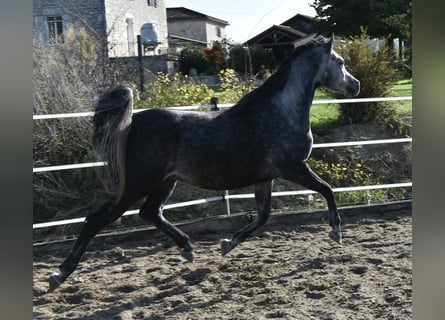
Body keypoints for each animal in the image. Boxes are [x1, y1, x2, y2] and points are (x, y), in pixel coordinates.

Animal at [47, 35, 358, 292]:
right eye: (340, 62)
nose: (355, 85)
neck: (281, 111)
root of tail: (133, 121)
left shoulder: (266, 177)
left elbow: (263, 216)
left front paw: (226, 245)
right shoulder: (293, 168)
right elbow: (327, 189)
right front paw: (336, 232)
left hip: (164, 182)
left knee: (150, 213)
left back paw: (187, 249)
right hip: (137, 184)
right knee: (96, 220)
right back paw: (58, 275)